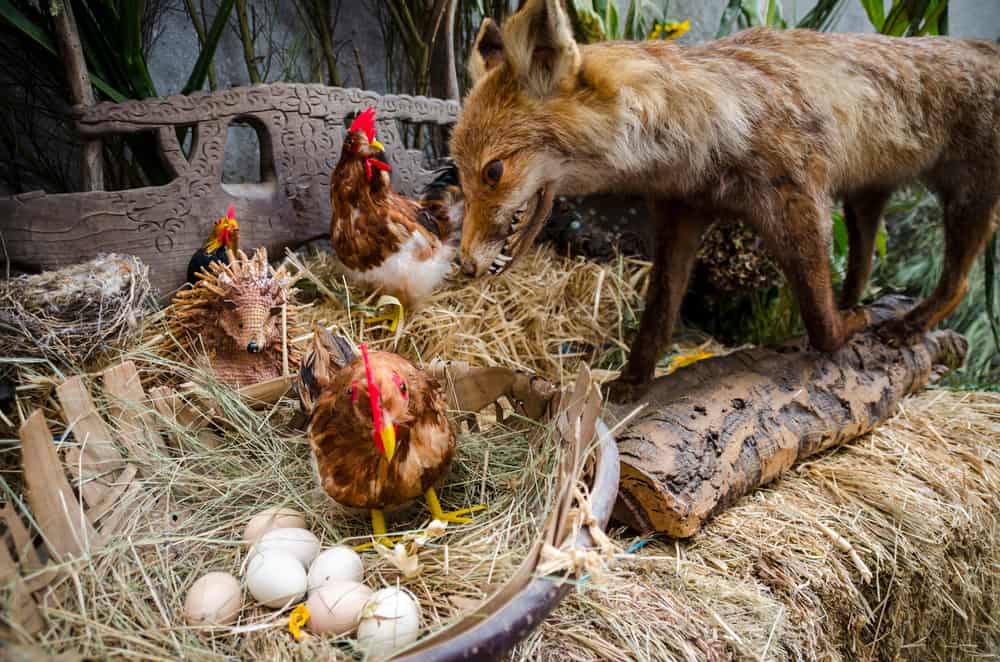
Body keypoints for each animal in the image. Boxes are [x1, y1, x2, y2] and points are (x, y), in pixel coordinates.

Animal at [454, 0, 1000, 404]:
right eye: (457, 169)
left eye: (493, 172)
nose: (463, 265)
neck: (712, 126)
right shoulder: (680, 214)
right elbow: (657, 316)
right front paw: (633, 381)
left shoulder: (799, 204)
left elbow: (820, 323)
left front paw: (847, 332)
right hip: (865, 196)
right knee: (862, 265)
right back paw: (860, 302)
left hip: (966, 200)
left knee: (957, 284)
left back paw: (909, 324)